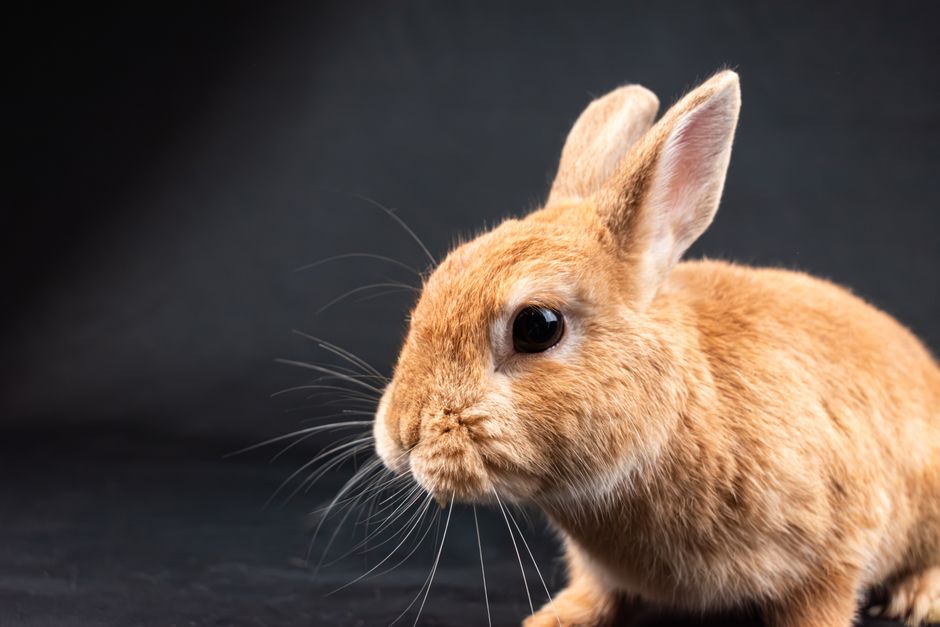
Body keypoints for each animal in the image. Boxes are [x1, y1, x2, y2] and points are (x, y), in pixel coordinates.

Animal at [371, 70, 940, 626]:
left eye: (537, 326)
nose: (403, 433)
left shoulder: (833, 548)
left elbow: (820, 604)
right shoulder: (598, 569)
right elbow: (595, 592)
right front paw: (553, 619)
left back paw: (920, 600)